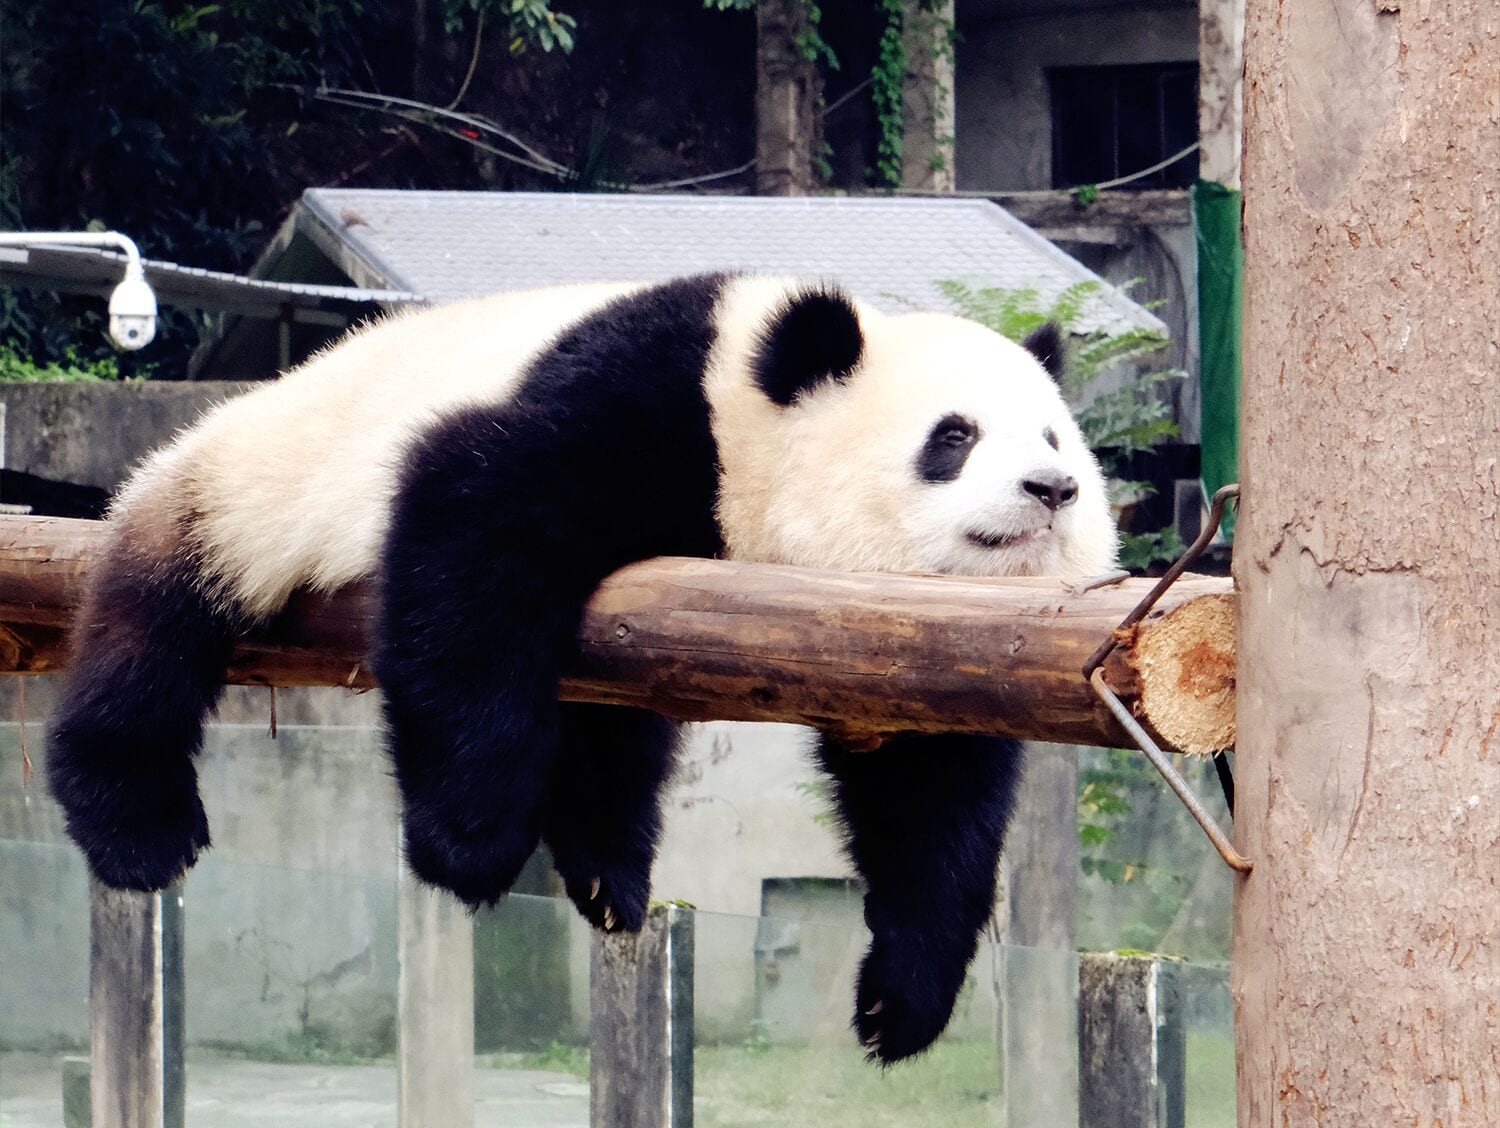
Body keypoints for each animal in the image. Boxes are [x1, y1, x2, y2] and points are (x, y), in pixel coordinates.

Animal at [47, 272, 1116, 1063]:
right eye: (954, 436)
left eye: (1055, 435)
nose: (1053, 488)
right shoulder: (652, 407)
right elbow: (472, 511)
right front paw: (468, 843)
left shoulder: (905, 639)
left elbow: (929, 792)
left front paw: (901, 1001)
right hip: (239, 489)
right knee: (152, 633)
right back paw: (137, 825)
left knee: (613, 732)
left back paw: (610, 871)